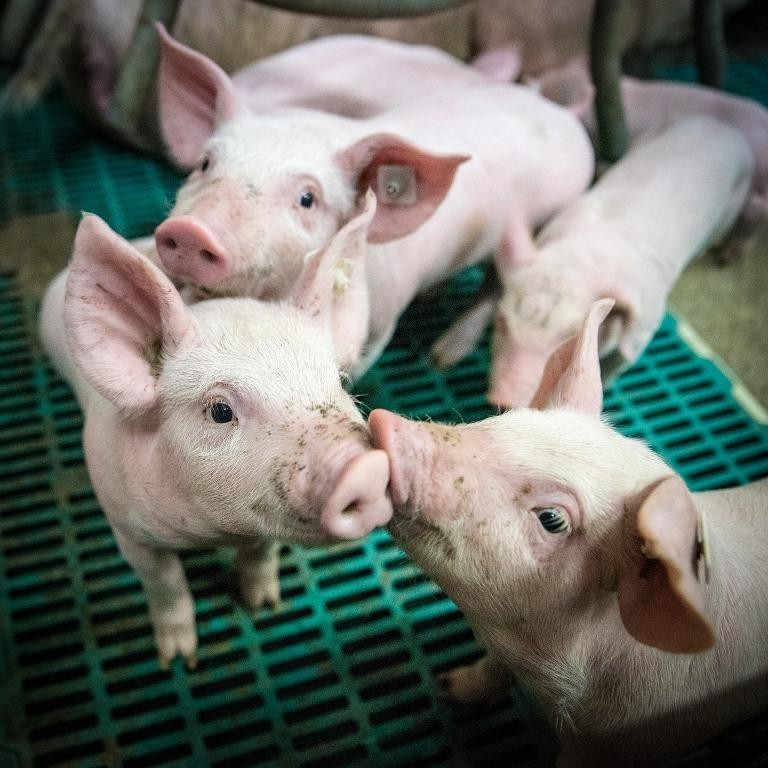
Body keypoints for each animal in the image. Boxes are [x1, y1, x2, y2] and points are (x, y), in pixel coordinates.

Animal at [39, 194, 392, 668]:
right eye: (220, 410)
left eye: (340, 381)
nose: (366, 467)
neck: (210, 532)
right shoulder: (127, 529)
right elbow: (164, 582)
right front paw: (179, 661)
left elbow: (261, 553)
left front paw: (265, 608)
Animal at [151, 26, 594, 377]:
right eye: (205, 163)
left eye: (308, 199)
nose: (191, 230)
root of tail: (562, 114)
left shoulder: (383, 318)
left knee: (493, 287)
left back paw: (441, 358)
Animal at [433, 115, 754, 407]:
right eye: (502, 322)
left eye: (570, 339)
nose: (502, 398)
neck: (584, 259)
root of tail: (720, 124)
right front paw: (439, 359)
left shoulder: (647, 324)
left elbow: (621, 360)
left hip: (731, 207)